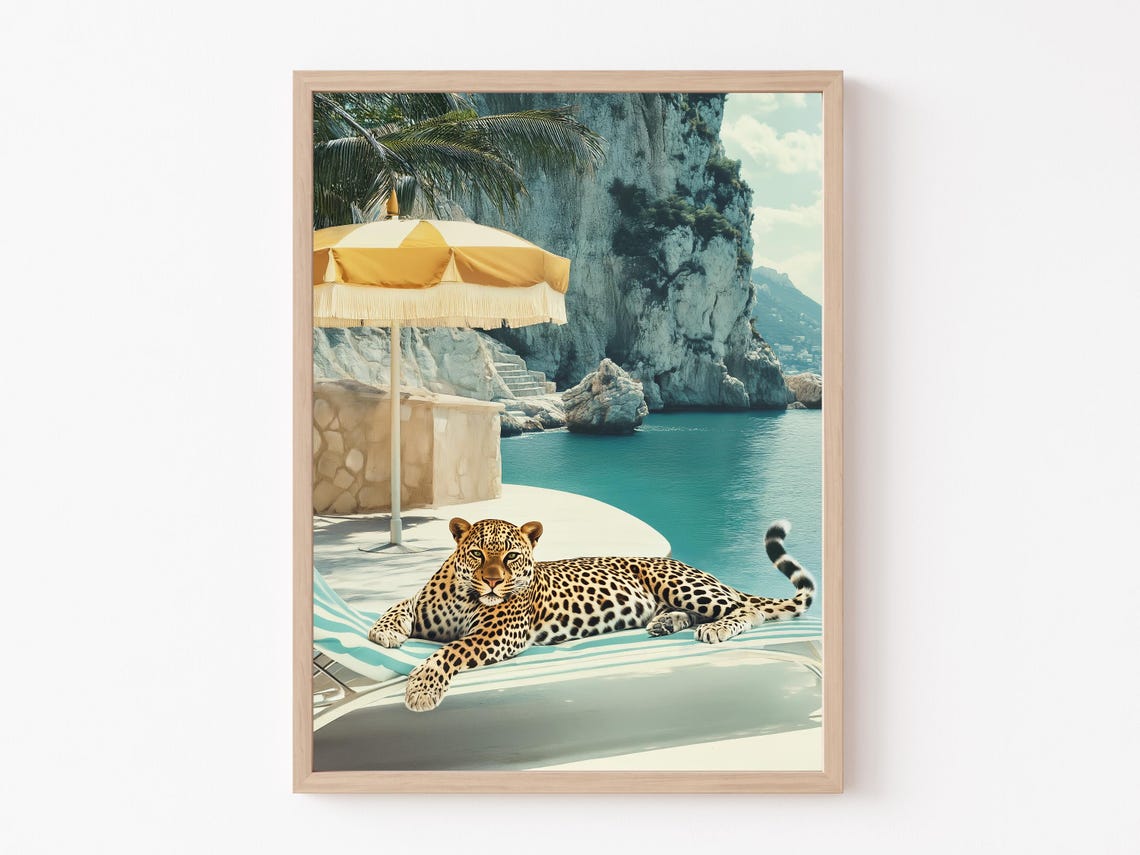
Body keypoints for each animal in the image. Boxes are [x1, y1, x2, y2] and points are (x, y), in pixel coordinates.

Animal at [367, 517, 815, 711]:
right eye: (477, 553)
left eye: (511, 557)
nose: (493, 582)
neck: (465, 595)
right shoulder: (422, 605)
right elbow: (399, 604)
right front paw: (381, 631)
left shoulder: (498, 634)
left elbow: (448, 651)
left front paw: (422, 689)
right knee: (700, 613)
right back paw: (663, 623)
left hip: (676, 582)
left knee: (747, 611)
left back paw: (717, 627)